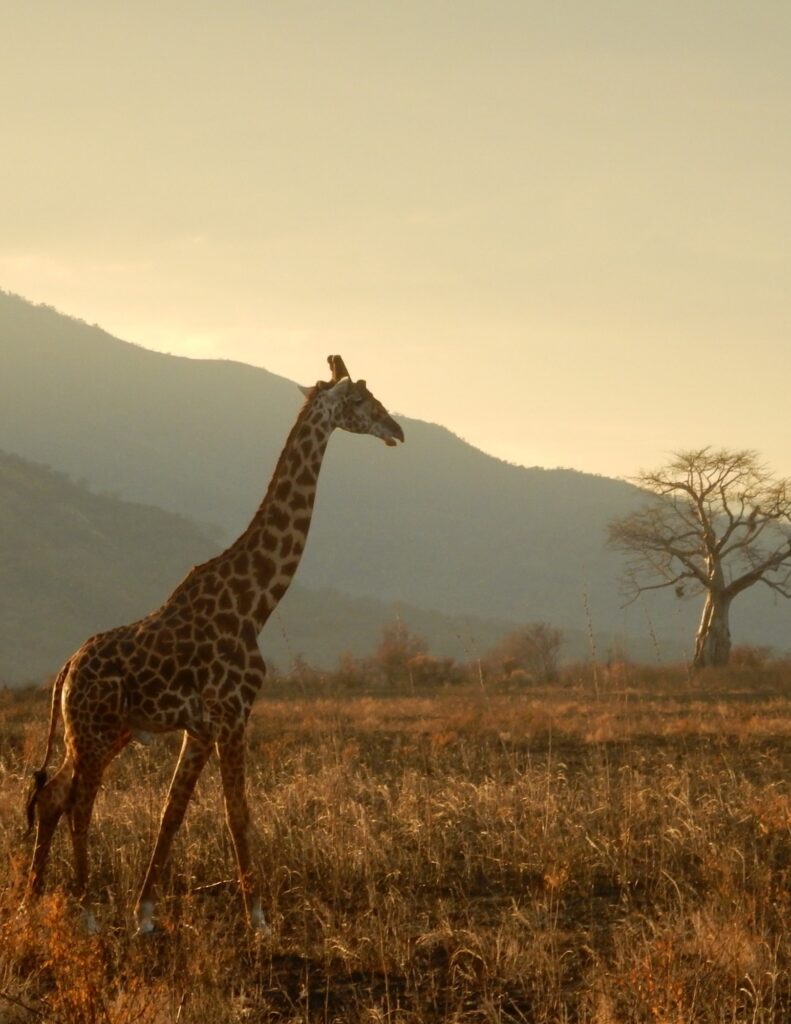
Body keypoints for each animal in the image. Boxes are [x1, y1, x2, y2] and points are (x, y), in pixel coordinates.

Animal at [24, 354, 405, 937]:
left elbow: (172, 813)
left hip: (97, 733)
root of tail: (66, 669)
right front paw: (260, 920)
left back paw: (30, 902)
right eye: (363, 400)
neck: (256, 602)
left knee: (51, 796)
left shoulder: (200, 727)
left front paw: (145, 915)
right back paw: (84, 912)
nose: (397, 430)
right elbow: (238, 813)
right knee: (79, 801)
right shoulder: (231, 714)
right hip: (94, 731)